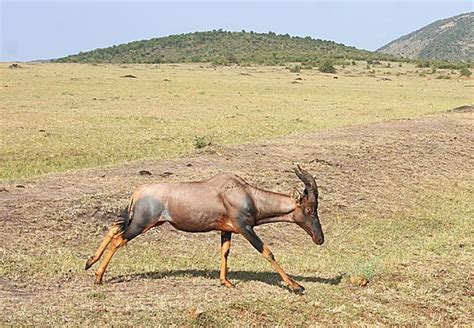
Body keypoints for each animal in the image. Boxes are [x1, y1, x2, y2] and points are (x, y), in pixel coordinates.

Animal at [85, 165, 324, 294]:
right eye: (309, 209)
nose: (319, 238)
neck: (244, 193)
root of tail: (137, 191)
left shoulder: (227, 230)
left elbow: (225, 252)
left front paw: (226, 282)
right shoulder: (245, 228)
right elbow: (267, 252)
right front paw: (296, 286)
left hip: (138, 222)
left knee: (113, 229)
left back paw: (89, 262)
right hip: (141, 224)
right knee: (118, 239)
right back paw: (98, 277)